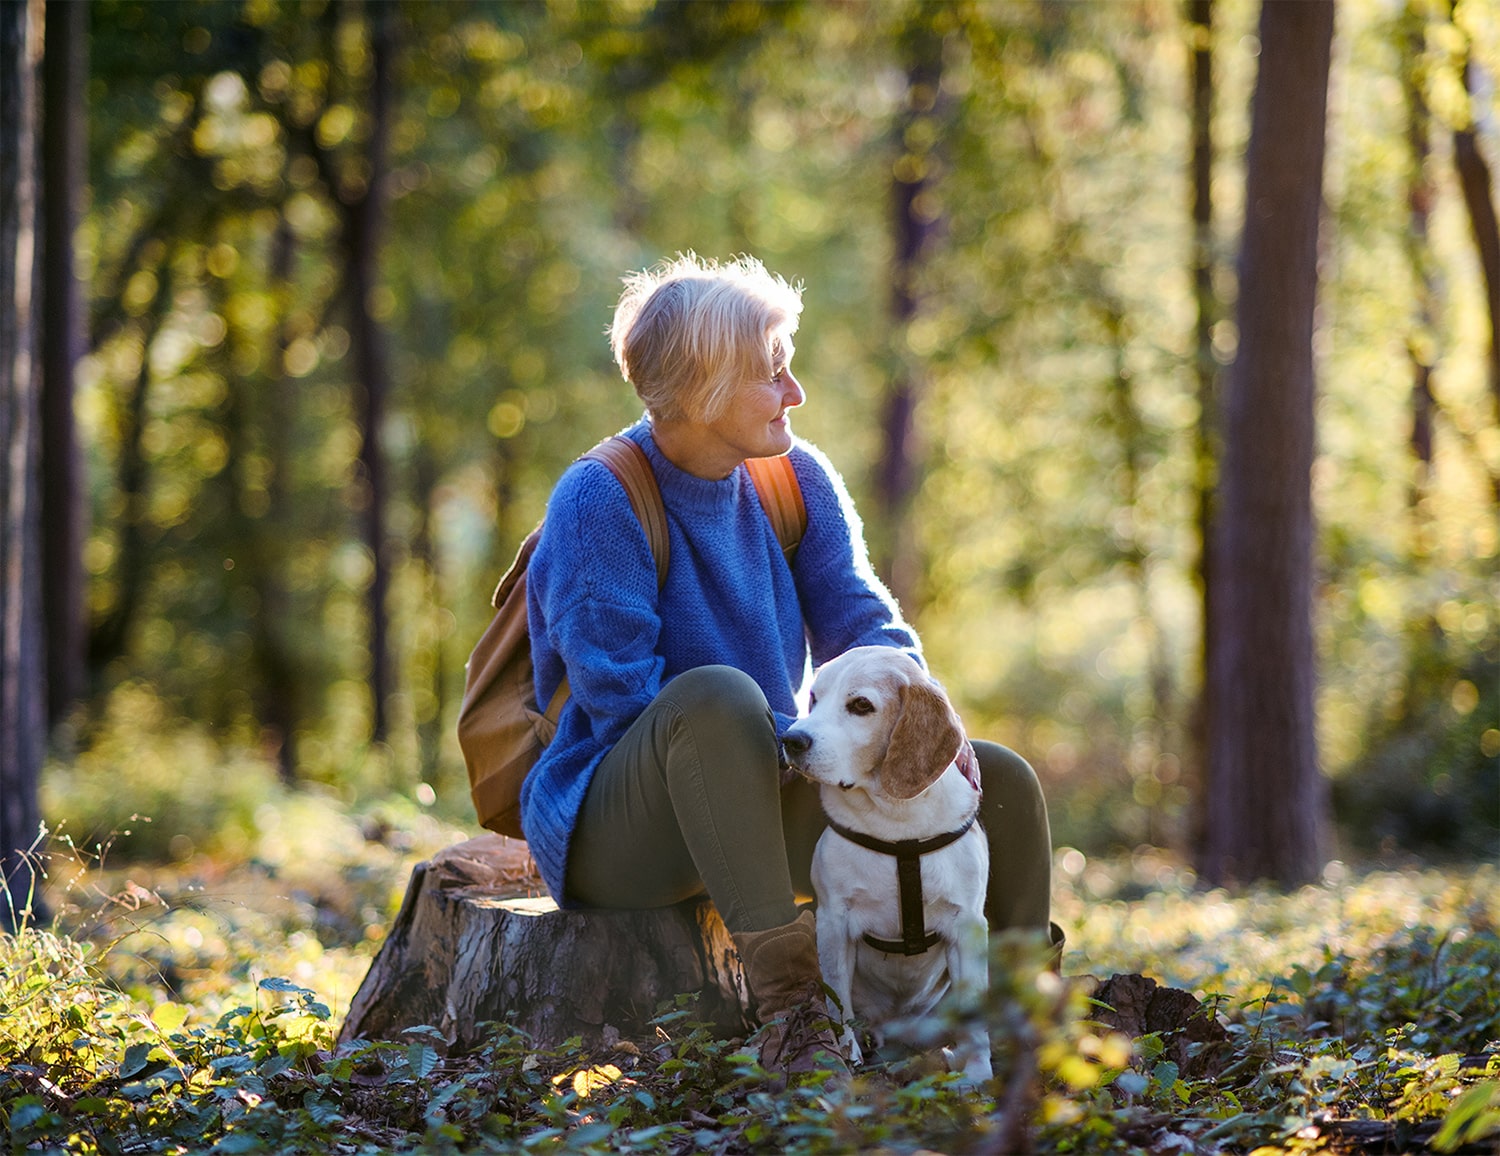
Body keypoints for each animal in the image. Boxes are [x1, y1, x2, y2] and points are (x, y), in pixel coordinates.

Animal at [780, 647, 990, 1079]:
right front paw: (848, 1059)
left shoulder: (968, 926)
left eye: (861, 705)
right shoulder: (834, 924)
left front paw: (980, 1075)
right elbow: (838, 1005)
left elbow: (975, 1018)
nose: (791, 740)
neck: (897, 824)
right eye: (814, 698)